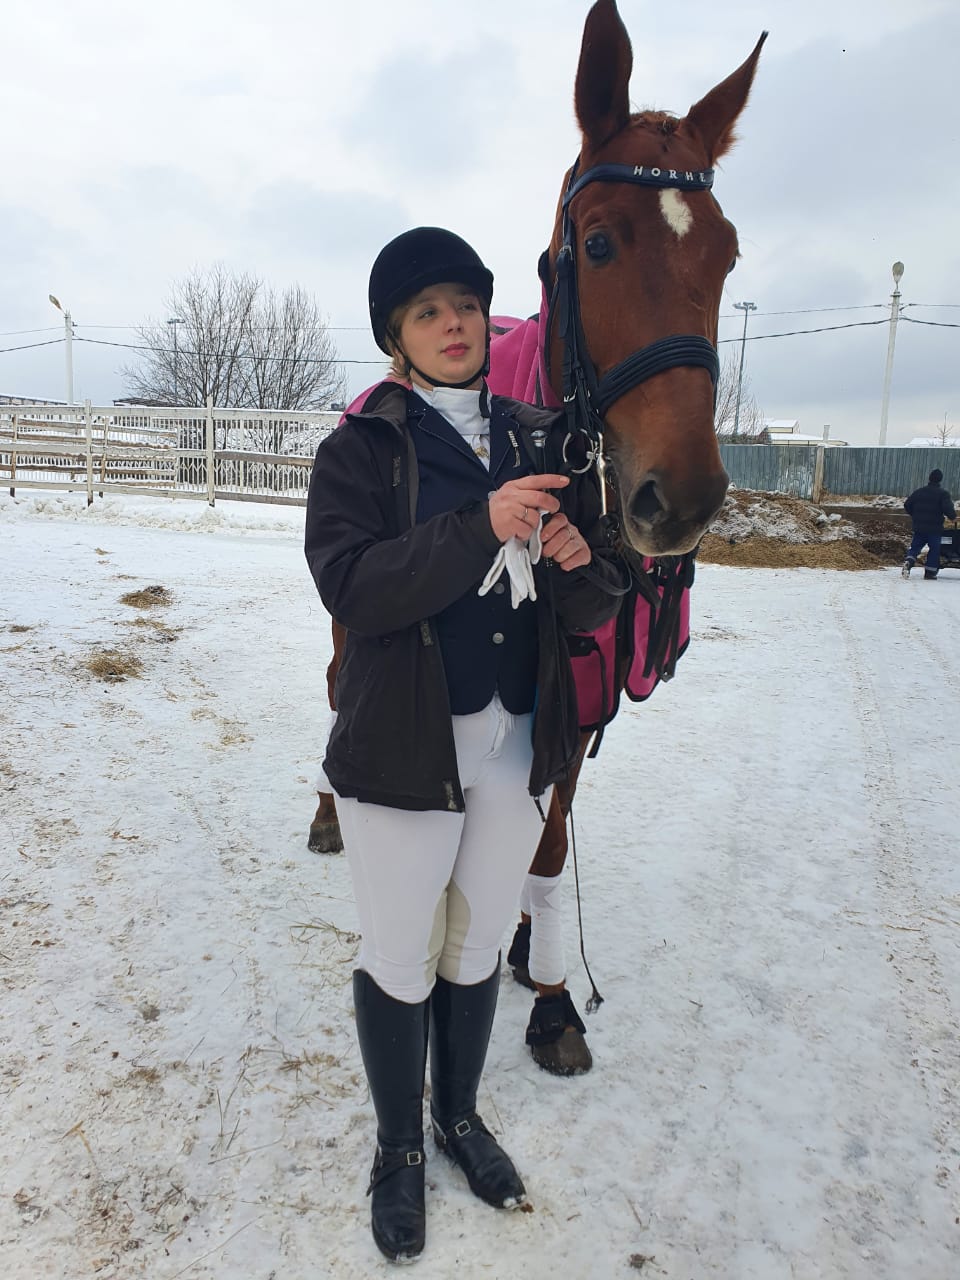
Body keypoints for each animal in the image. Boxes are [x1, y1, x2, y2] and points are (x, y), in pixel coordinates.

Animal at [308, 0, 765, 1075]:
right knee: (340, 688)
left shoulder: (577, 698)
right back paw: (331, 808)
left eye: (726, 252)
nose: (680, 500)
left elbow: (544, 847)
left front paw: (545, 982)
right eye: (596, 245)